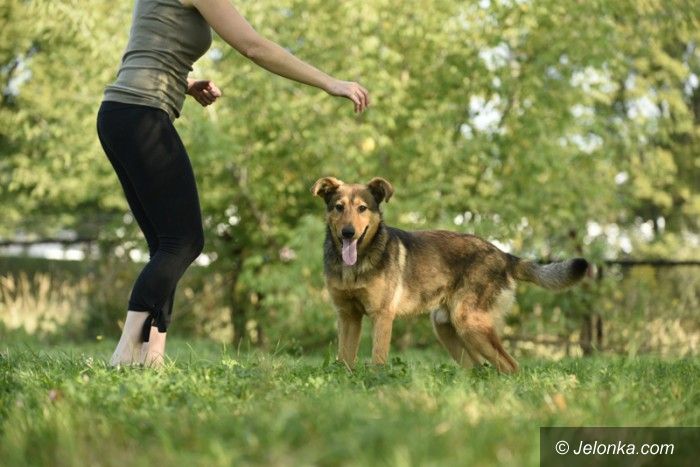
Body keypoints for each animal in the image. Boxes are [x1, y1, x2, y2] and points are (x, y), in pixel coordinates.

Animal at [312, 176, 588, 373]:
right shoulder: (348, 316)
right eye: (338, 207)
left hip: (471, 324)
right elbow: (344, 359)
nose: (348, 233)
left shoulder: (382, 316)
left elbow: (378, 361)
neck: (355, 265)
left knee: (510, 366)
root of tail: (503, 255)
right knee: (479, 368)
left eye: (362, 208)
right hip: (448, 329)